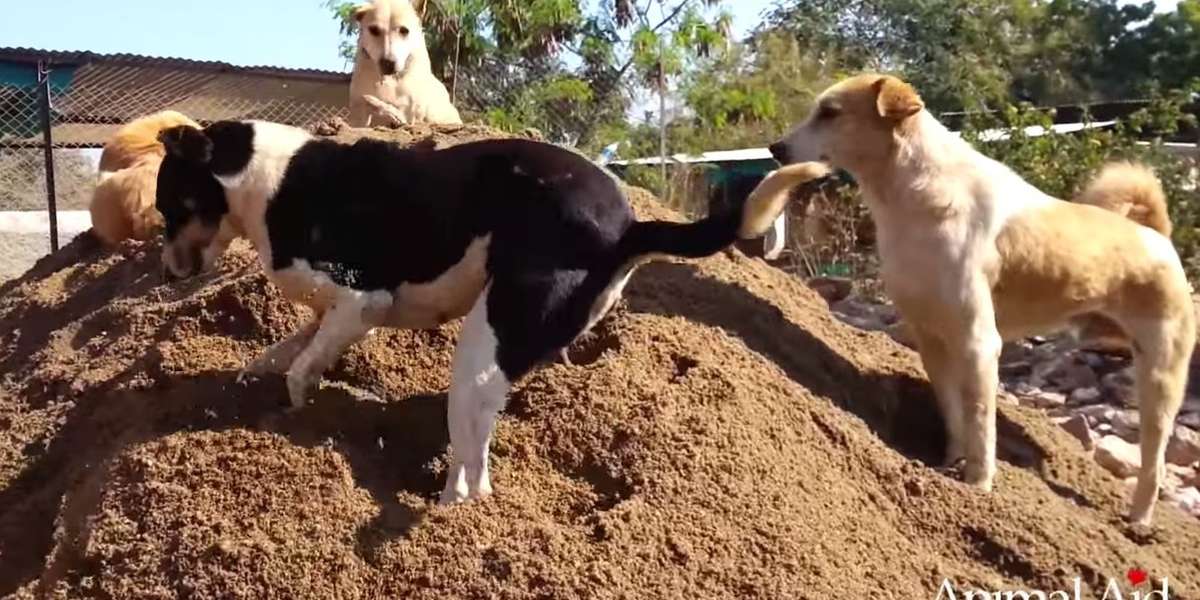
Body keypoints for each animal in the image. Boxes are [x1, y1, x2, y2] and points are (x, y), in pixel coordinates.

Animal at [152, 120, 825, 501]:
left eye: (168, 206)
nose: (166, 273)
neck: (262, 176)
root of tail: (629, 228)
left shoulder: (361, 299)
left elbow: (299, 372)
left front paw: (294, 413)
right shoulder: (332, 313)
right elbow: (287, 350)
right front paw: (253, 380)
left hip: (478, 354)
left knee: (473, 474)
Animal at [744, 73, 1195, 525]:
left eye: (830, 112)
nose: (775, 149)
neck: (913, 194)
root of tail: (1158, 237)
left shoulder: (978, 341)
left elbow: (980, 421)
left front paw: (978, 484)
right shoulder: (931, 338)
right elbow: (953, 412)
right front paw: (950, 463)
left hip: (1159, 378)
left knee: (1154, 463)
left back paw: (1139, 520)